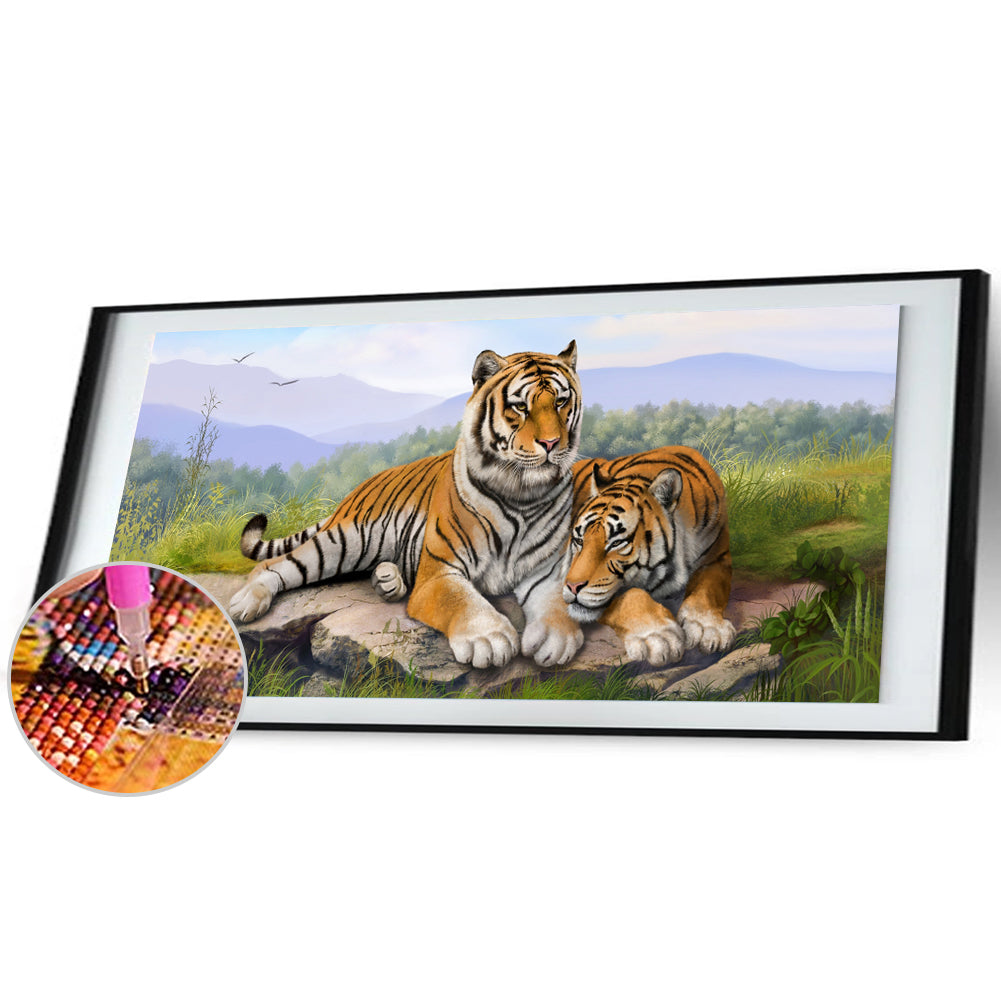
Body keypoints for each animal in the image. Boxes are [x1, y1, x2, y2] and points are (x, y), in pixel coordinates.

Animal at [227, 342, 585, 670]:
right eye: (520, 406)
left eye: (560, 401)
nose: (551, 443)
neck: (522, 494)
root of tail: (361, 487)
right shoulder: (440, 571)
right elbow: (463, 600)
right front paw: (489, 638)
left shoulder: (548, 570)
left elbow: (558, 601)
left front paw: (557, 639)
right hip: (342, 542)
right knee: (274, 565)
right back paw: (245, 604)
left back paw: (388, 580)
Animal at [563, 446, 736, 667]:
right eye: (578, 540)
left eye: (616, 543)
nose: (572, 586)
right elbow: (631, 594)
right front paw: (658, 637)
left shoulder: (718, 558)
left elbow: (709, 588)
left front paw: (708, 629)